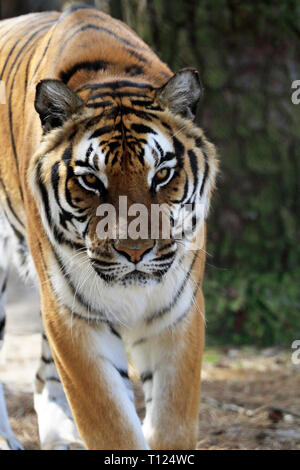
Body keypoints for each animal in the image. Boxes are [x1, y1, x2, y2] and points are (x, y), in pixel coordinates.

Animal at [0, 4, 217, 452]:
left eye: (162, 174)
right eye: (90, 181)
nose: (135, 252)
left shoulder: (178, 312)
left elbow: (173, 423)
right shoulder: (74, 318)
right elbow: (112, 424)